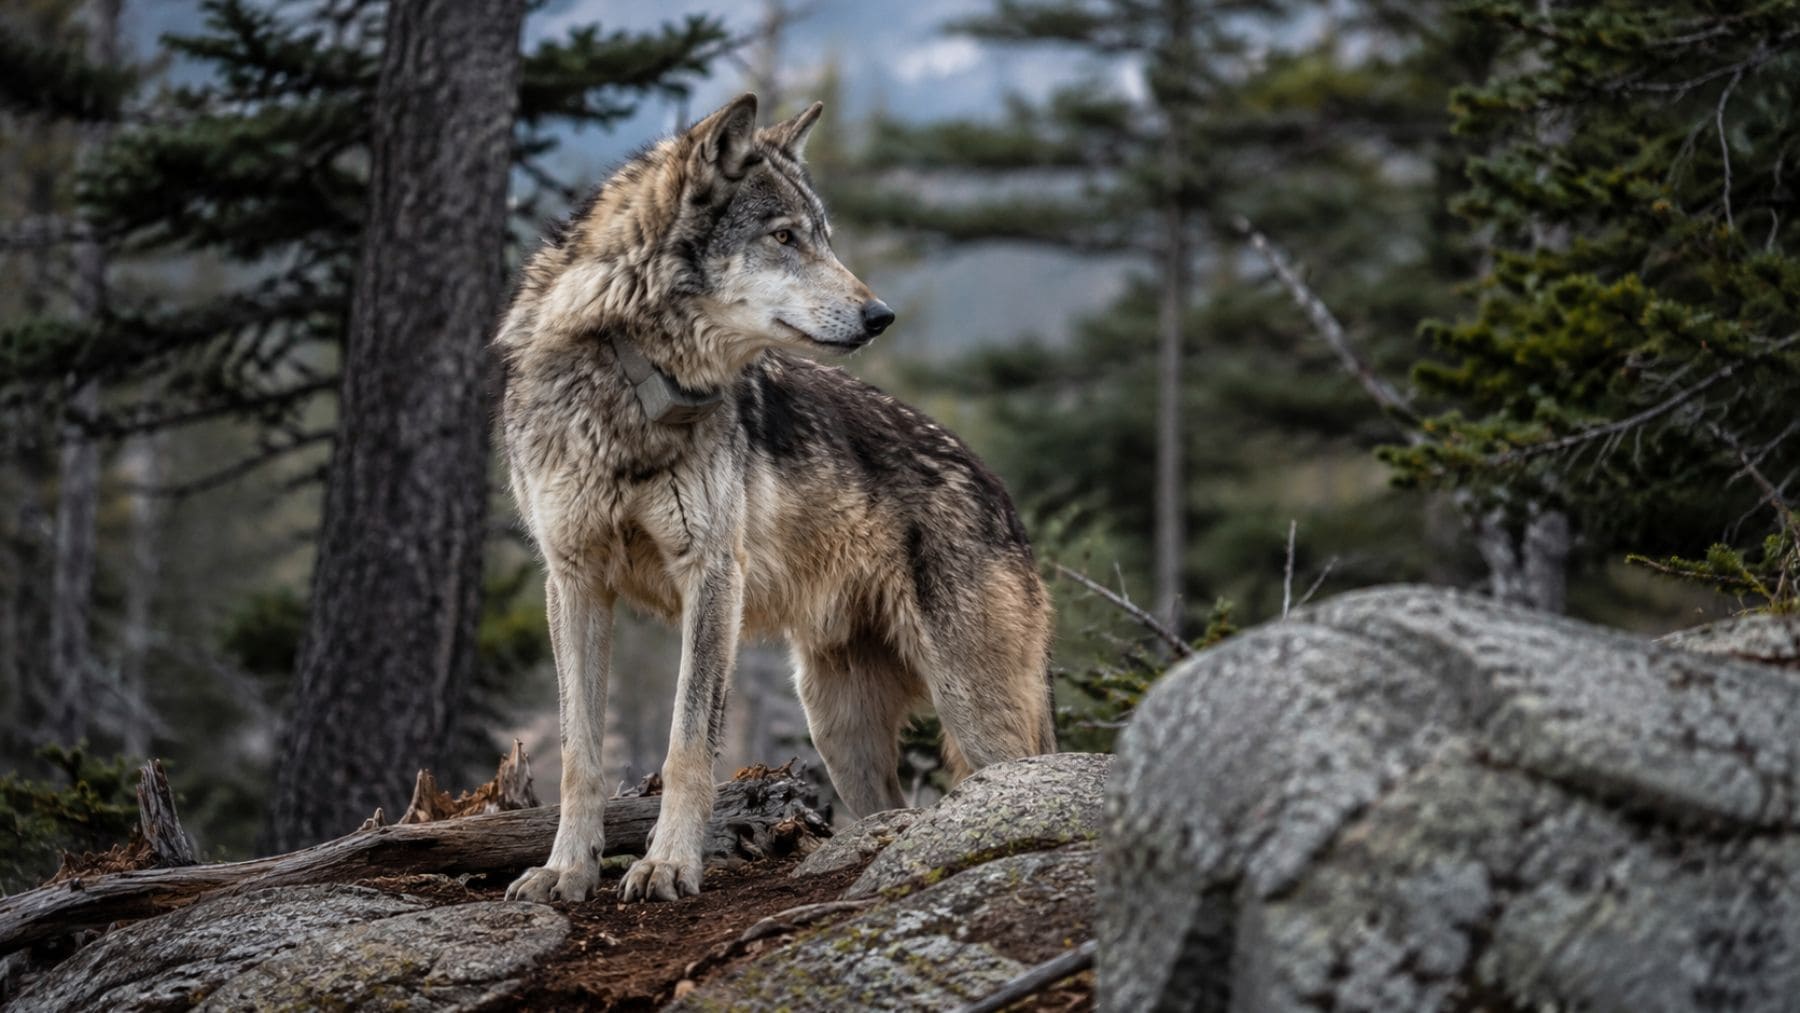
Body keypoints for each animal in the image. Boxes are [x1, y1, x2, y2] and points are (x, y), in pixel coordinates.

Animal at [495, 94, 1055, 904]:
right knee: (887, 803)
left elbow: (688, 743)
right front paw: (565, 870)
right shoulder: (573, 579)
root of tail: (1000, 491)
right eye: (785, 237)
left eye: (824, 238)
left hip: (976, 714)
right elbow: (578, 753)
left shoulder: (711, 576)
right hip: (837, 725)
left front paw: (668, 864)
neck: (629, 381)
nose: (881, 315)